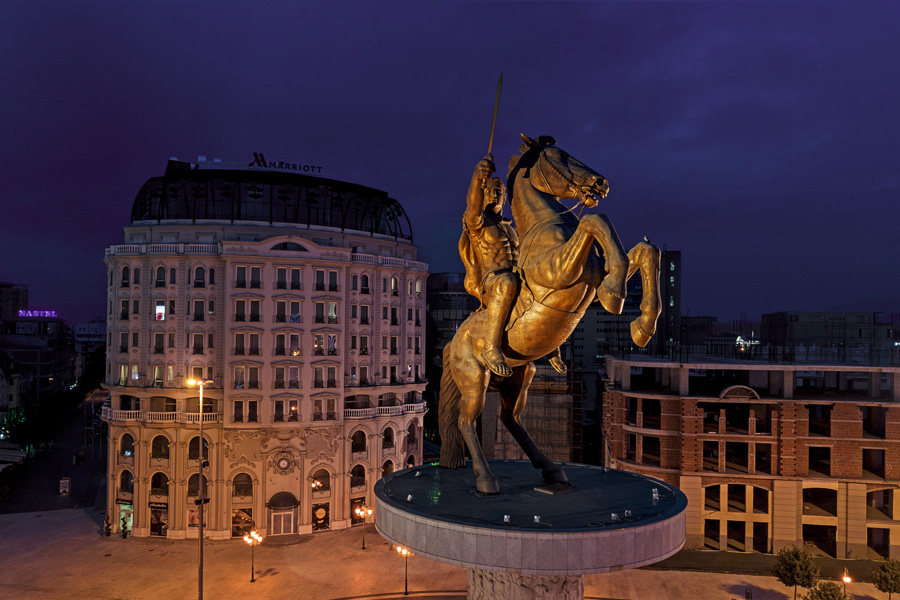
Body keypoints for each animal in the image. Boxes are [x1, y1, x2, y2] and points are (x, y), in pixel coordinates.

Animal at [438, 134, 660, 494]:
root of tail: (452, 342)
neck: (548, 225)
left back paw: (552, 468)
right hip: (474, 377)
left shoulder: (592, 276)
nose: (601, 183)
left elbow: (644, 251)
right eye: (559, 156)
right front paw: (616, 295)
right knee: (465, 420)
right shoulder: (559, 270)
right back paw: (486, 478)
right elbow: (596, 220)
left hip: (520, 378)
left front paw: (642, 325)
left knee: (510, 419)